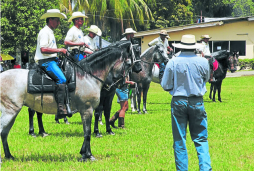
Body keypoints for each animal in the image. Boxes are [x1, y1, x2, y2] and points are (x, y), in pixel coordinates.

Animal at [0, 42, 135, 162]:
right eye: (128, 63)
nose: (123, 83)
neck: (87, 75)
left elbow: (87, 131)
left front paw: (83, 153)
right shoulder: (87, 109)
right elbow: (87, 133)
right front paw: (88, 156)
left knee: (5, 132)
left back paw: (9, 156)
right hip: (10, 111)